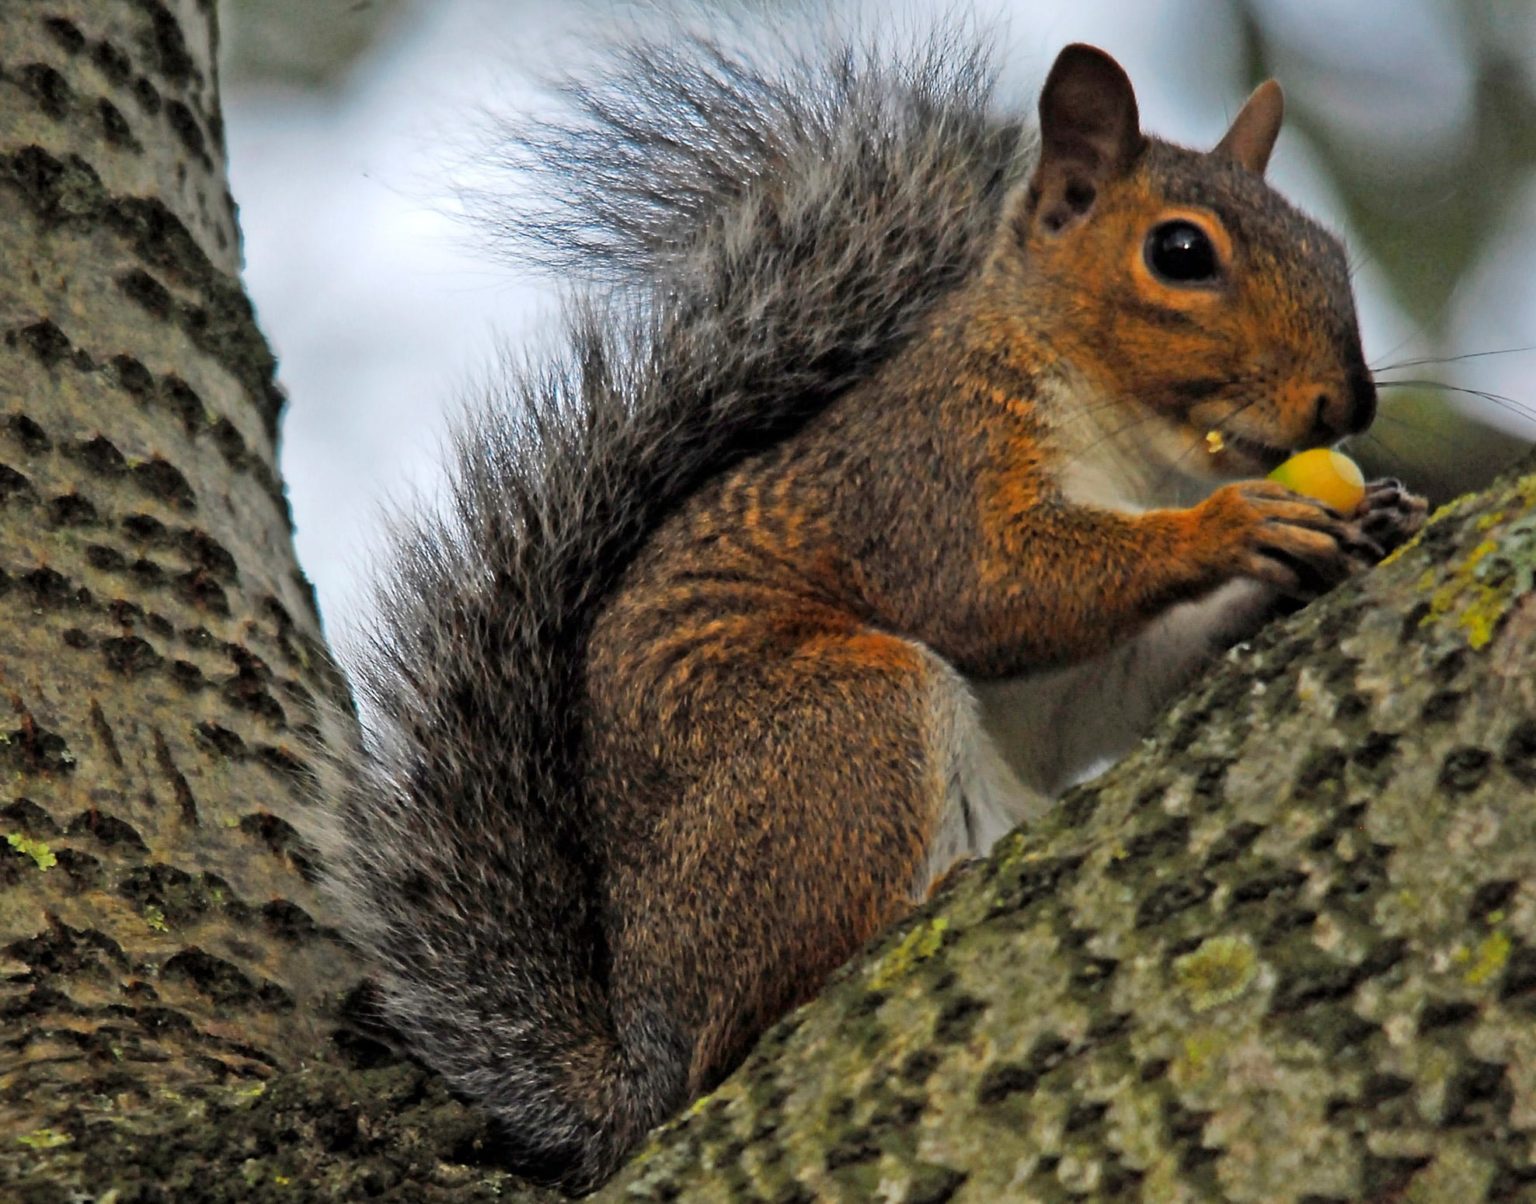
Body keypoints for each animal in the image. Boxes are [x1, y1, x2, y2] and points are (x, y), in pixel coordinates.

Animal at [309, 25, 1428, 1195]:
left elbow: (1113, 688)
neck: (1134, 452)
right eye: (1179, 253)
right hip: (845, 725)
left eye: (1328, 246)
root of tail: (641, 1060)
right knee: (750, 1020)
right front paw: (1230, 526)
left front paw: (1351, 530)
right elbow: (992, 590)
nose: (1350, 403)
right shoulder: (928, 469)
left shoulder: (1082, 666)